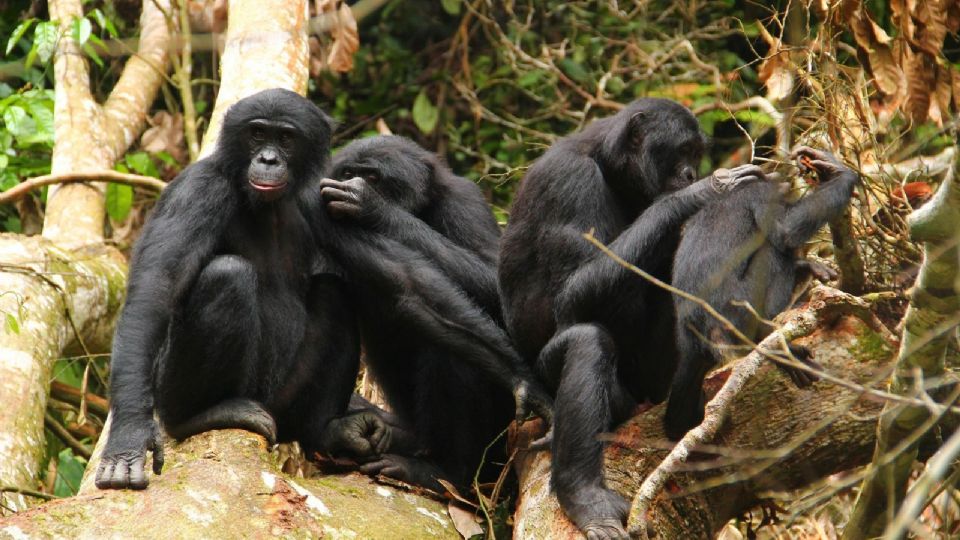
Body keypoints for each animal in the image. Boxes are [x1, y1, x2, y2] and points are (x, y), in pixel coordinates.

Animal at [95, 90, 358, 492]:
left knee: (336, 292)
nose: (268, 158)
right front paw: (128, 437)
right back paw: (202, 415)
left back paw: (326, 431)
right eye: (257, 133)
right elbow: (157, 289)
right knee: (227, 275)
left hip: (284, 401)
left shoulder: (322, 200)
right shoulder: (199, 191)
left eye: (286, 138)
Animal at [300, 135, 556, 490]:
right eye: (348, 171)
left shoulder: (465, 202)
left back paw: (444, 473)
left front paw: (374, 206)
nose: (351, 183)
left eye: (372, 177)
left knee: (451, 352)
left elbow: (498, 281)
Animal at [498, 98, 760, 540]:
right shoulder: (570, 182)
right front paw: (704, 191)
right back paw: (586, 500)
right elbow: (573, 295)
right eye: (683, 151)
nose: (691, 173)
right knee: (587, 344)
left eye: (696, 154)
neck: (610, 168)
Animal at [664, 147, 860, 438]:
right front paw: (839, 172)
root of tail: (692, 332)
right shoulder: (762, 194)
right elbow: (785, 230)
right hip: (738, 315)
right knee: (772, 253)